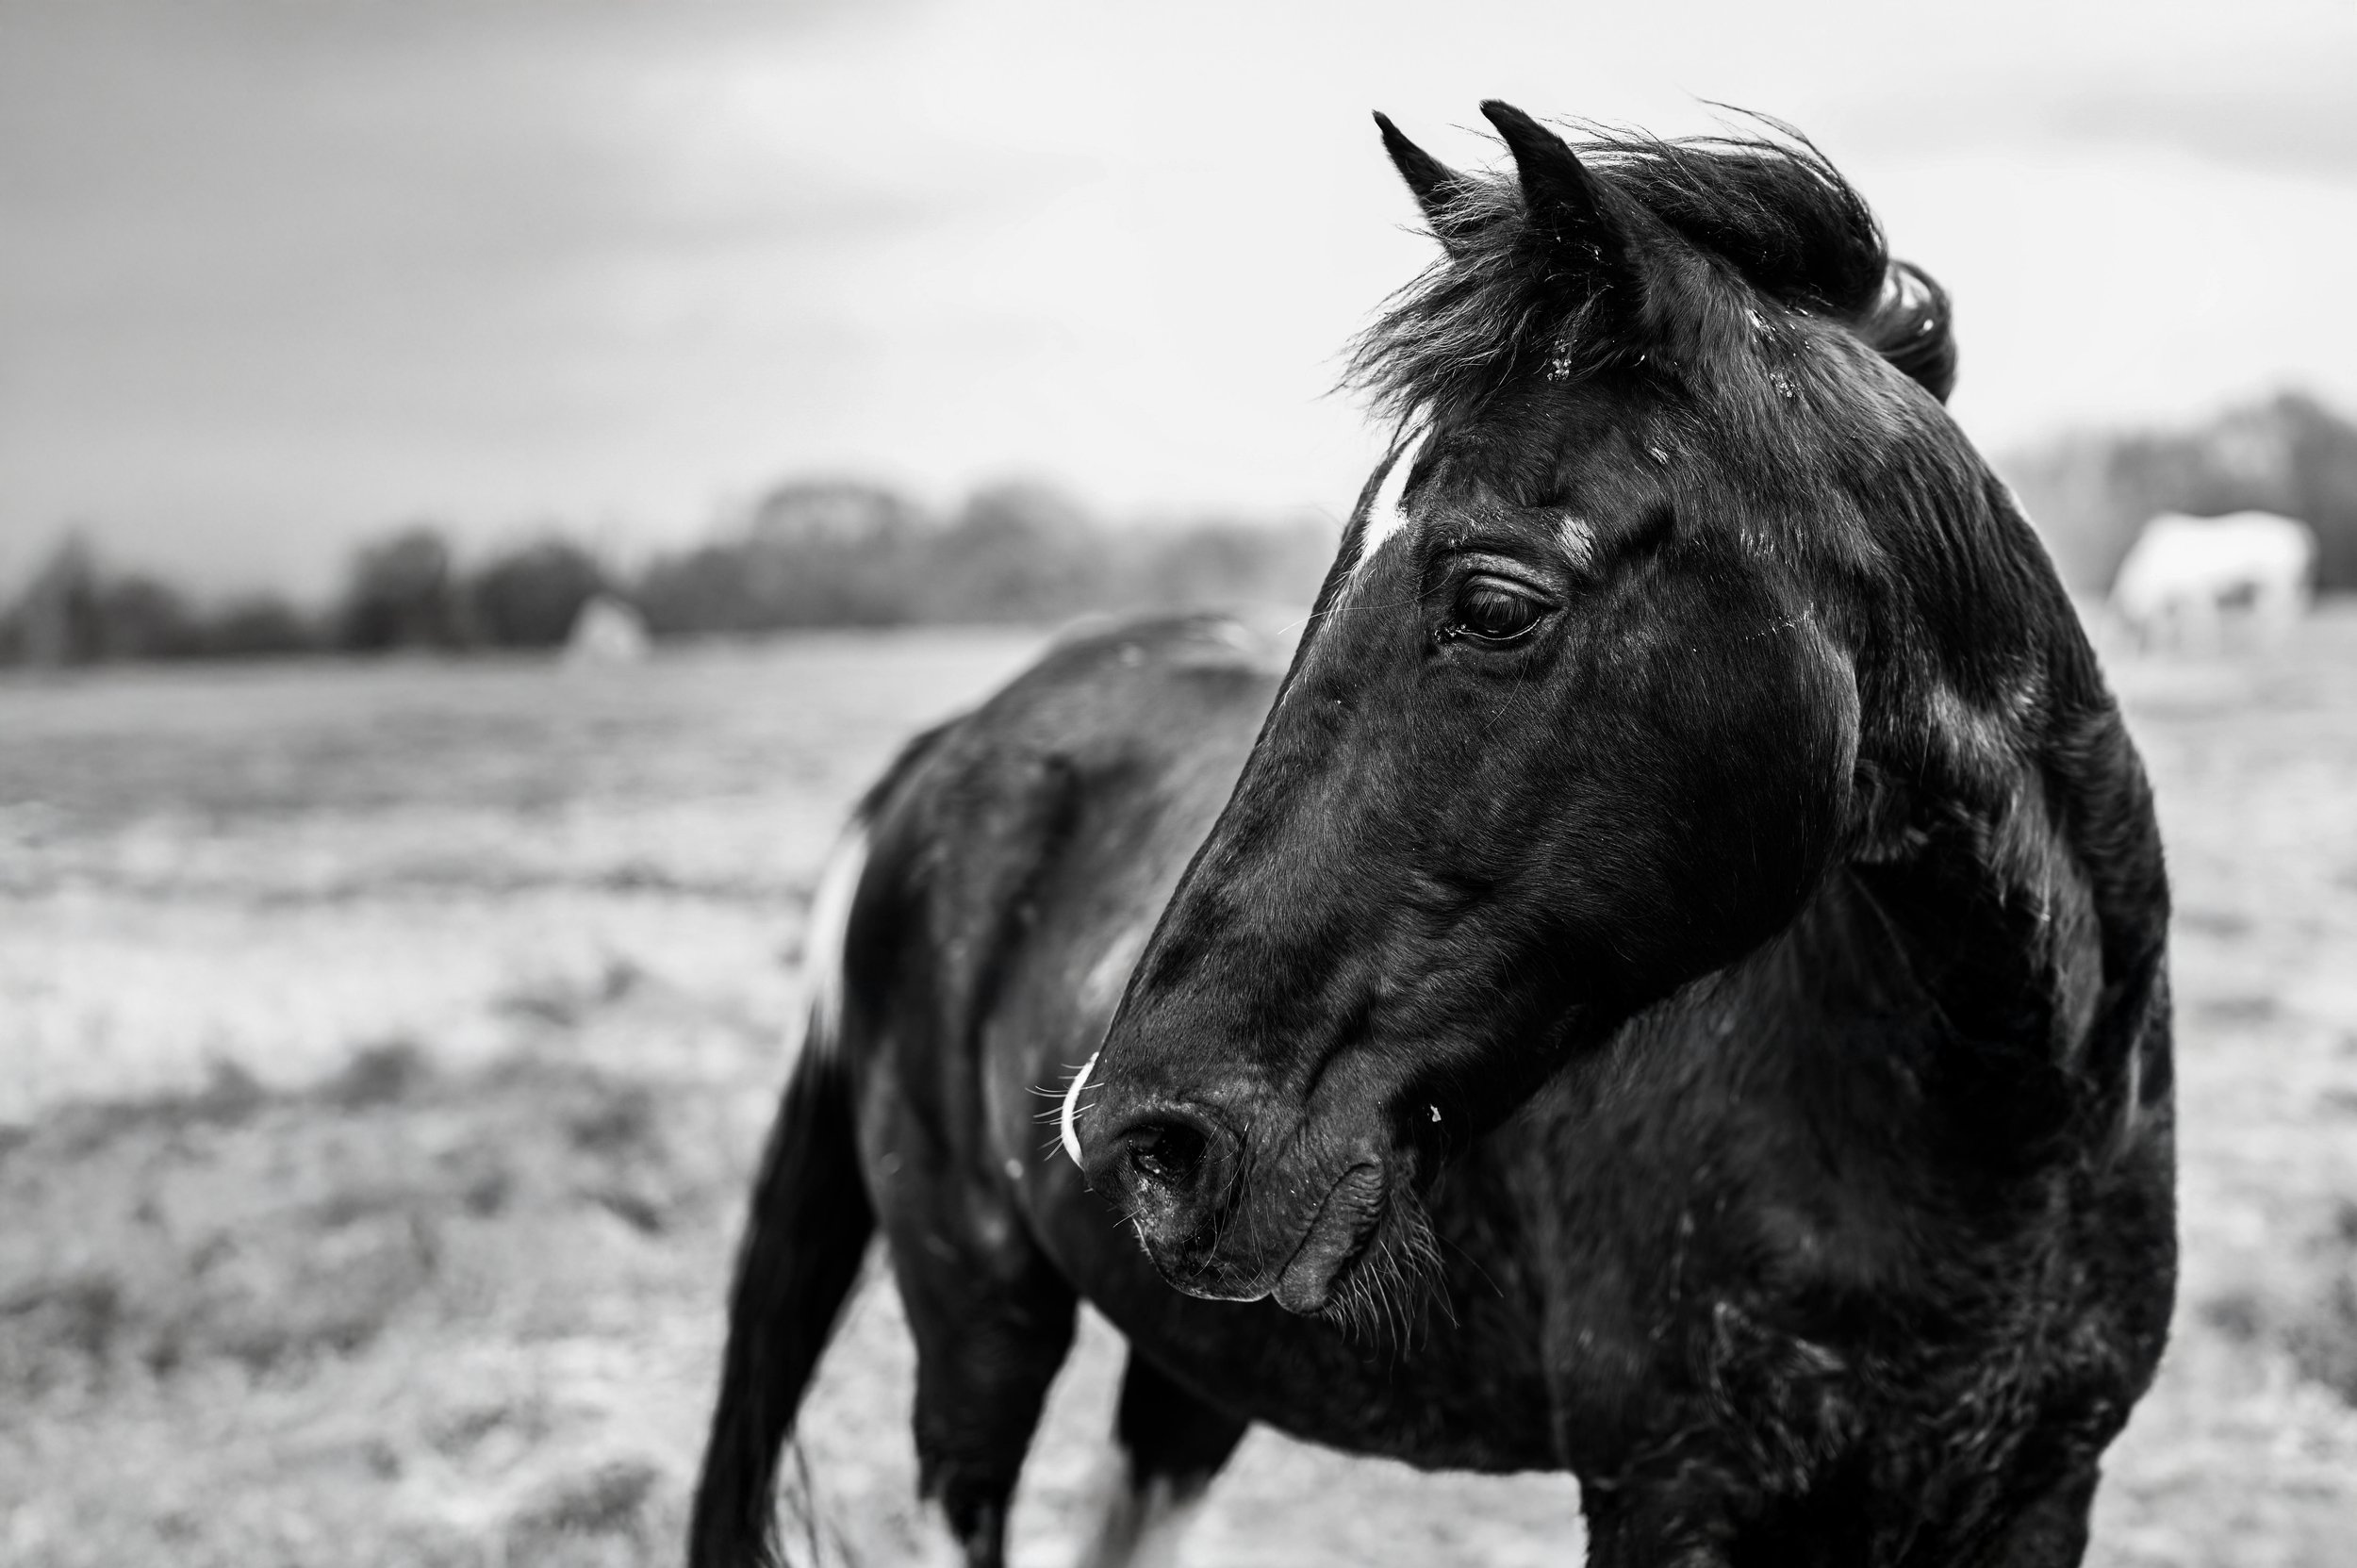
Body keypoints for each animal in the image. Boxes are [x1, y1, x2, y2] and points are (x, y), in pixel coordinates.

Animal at [691, 102, 2175, 1568]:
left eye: (1496, 602)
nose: (1141, 1132)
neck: (1996, 1124)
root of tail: (953, 748)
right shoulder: (1668, 1493)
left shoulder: (2043, 1491)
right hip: (977, 1326)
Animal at [2111, 510, 2316, 650]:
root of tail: (2296, 529)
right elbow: (2183, 622)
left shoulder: (2197, 590)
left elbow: (2200, 620)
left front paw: (2201, 648)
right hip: (2266, 587)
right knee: (2274, 611)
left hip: (2278, 582)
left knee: (2283, 611)